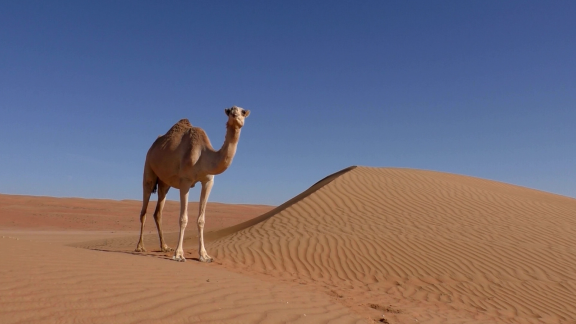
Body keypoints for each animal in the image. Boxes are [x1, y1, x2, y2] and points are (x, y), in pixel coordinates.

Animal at [137, 107, 252, 264]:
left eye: (243, 111)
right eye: (230, 111)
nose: (235, 116)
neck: (203, 155)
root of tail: (153, 146)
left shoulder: (208, 181)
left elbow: (201, 219)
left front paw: (204, 255)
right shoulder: (185, 181)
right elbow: (183, 218)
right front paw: (179, 255)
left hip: (164, 183)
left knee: (158, 212)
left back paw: (164, 247)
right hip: (148, 167)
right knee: (144, 208)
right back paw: (140, 247)